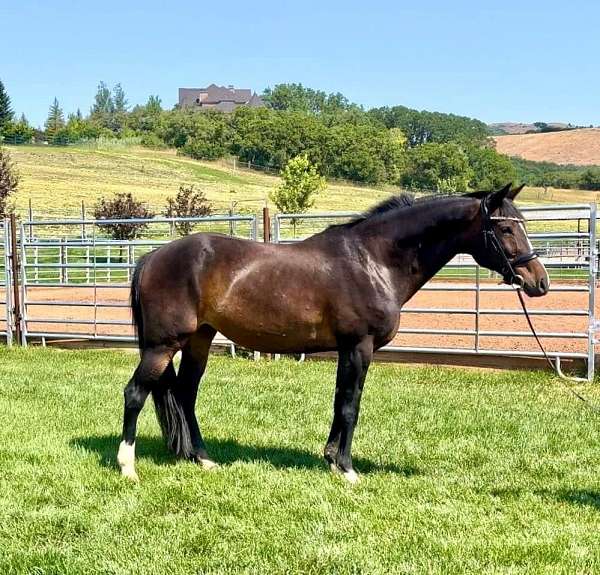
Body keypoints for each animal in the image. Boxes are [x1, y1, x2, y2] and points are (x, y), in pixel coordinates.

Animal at [117, 184, 548, 482]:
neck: (373, 260)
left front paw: (331, 460)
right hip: (162, 345)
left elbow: (341, 402)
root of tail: (153, 257)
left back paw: (203, 459)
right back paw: (128, 467)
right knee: (135, 393)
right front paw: (347, 469)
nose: (539, 282)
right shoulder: (359, 346)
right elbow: (350, 406)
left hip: (199, 340)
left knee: (186, 395)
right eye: (505, 228)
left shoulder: (347, 349)